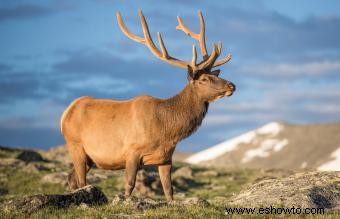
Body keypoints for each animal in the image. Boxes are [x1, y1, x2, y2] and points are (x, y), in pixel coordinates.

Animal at [60, 10, 234, 202]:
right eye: (203, 79)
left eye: (215, 75)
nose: (231, 85)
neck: (167, 130)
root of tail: (66, 113)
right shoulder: (131, 151)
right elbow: (129, 184)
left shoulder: (166, 158)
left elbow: (169, 189)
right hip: (75, 145)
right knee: (81, 180)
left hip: (90, 157)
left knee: (71, 178)